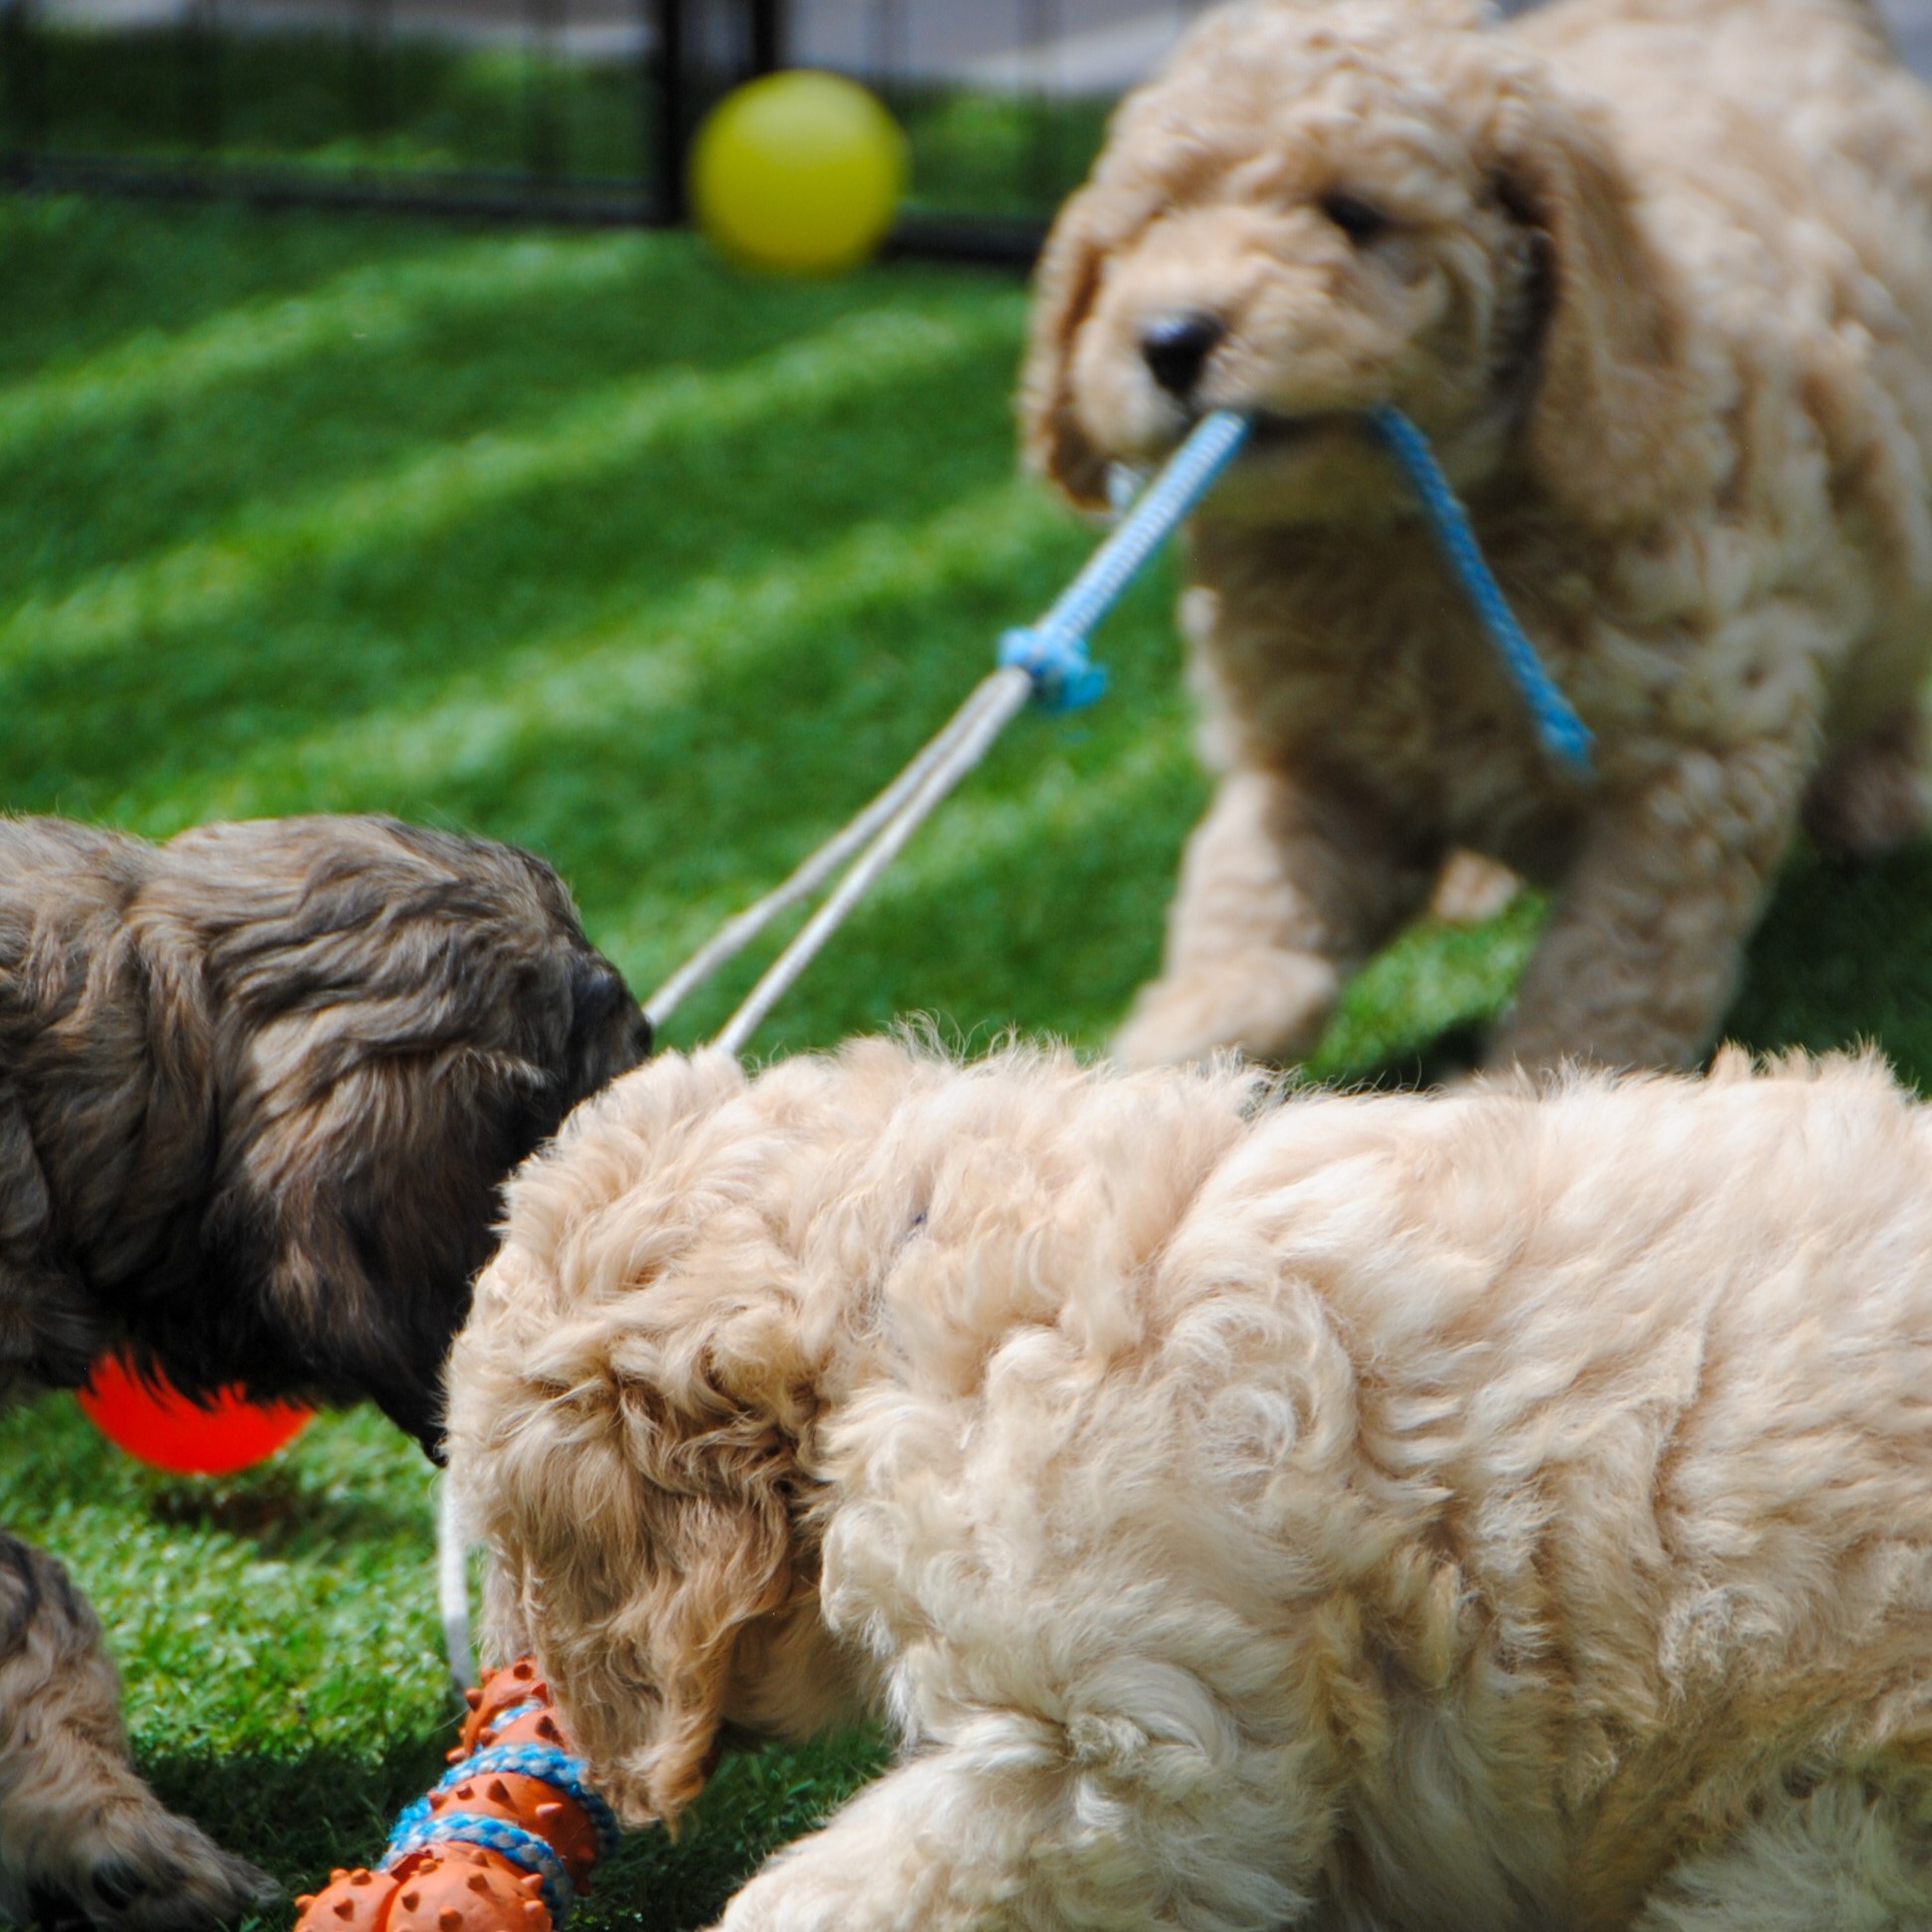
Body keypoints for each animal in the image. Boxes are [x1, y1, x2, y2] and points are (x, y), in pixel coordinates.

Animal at [451, 1043, 1932, 1932]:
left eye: (512, 1543)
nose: (513, 1696)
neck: (889, 1277)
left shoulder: (1128, 1761)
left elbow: (831, 1897)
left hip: (1811, 1830)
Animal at [1028, 0, 1932, 1073]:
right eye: (1151, 225)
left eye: (1353, 214)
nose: (1168, 341)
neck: (1395, 536)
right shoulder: (1310, 756)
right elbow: (1252, 910)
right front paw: (1167, 1046)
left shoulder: (1696, 764)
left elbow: (1607, 979)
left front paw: (1526, 1097)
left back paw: (1880, 794)